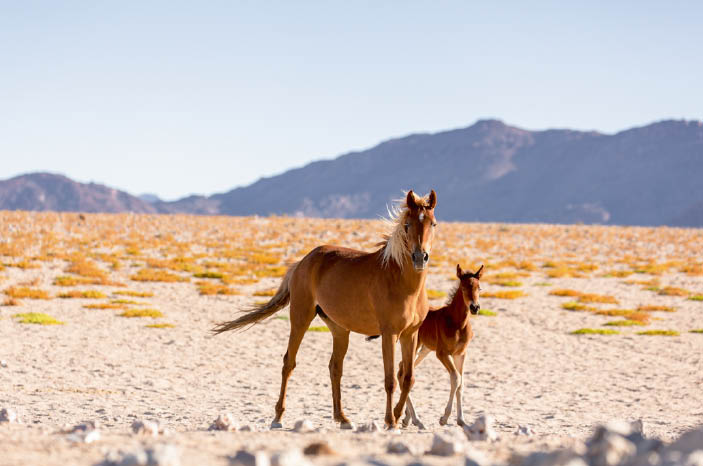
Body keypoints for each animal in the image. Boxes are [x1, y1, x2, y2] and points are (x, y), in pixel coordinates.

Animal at [212, 189, 438, 430]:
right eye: (407, 225)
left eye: (432, 223)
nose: (420, 257)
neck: (400, 281)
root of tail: (302, 262)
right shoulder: (389, 334)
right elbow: (390, 380)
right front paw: (390, 421)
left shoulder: (410, 335)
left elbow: (408, 378)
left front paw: (396, 416)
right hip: (301, 319)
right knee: (288, 363)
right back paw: (278, 417)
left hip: (340, 330)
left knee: (335, 368)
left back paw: (342, 418)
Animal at [402, 264, 484, 428]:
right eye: (464, 287)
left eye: (479, 288)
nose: (475, 308)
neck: (457, 323)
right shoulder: (442, 353)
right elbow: (456, 378)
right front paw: (444, 418)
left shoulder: (461, 354)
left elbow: (461, 383)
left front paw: (461, 420)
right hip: (415, 347)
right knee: (402, 371)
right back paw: (416, 419)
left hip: (424, 350)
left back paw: (408, 418)